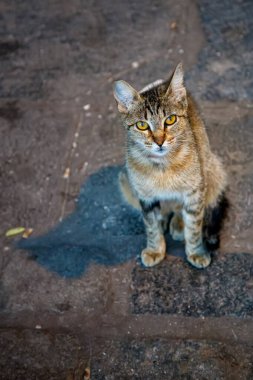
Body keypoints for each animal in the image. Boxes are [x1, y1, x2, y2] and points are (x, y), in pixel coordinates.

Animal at [113, 63, 226, 268]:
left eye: (171, 120)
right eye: (142, 125)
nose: (159, 141)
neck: (162, 167)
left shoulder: (195, 190)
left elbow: (194, 225)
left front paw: (196, 251)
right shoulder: (145, 197)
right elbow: (151, 226)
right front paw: (155, 249)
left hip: (212, 171)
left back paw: (178, 223)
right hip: (125, 181)